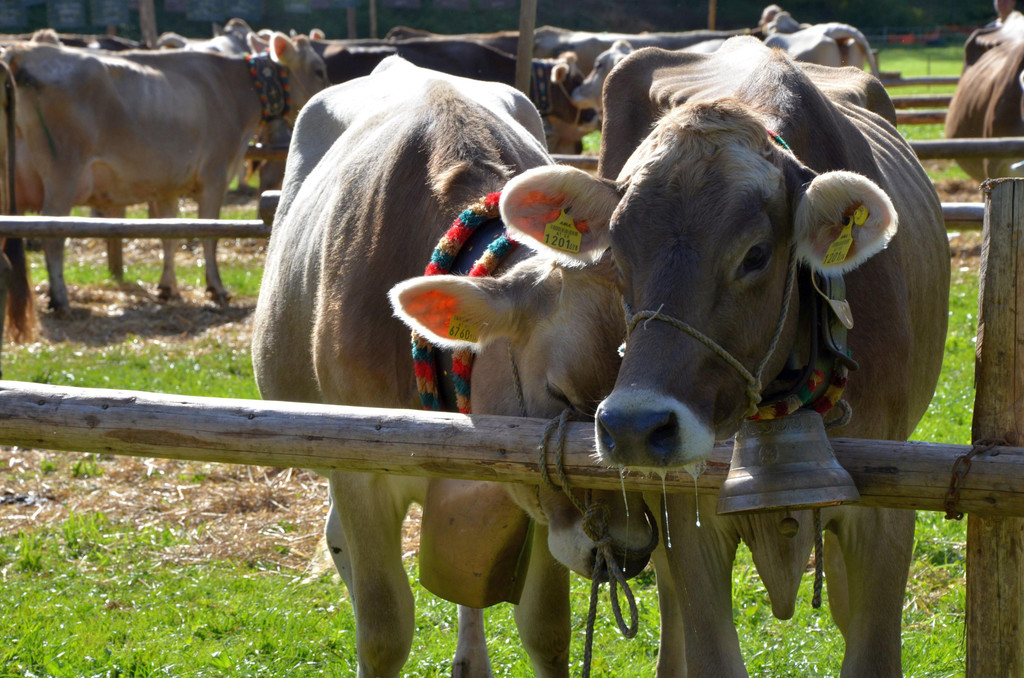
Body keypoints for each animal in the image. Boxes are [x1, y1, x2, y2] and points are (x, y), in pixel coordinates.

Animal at [3, 31, 328, 314]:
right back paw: (60, 298)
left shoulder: (169, 185)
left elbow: (170, 232)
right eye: (319, 70)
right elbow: (209, 234)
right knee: (52, 233)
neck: (233, 89)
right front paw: (216, 287)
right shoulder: (215, 175)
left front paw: (168, 287)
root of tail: (21, 51)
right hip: (63, 171)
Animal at [251, 55, 656, 677]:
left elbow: (546, 628)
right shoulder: (357, 470)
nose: (630, 551)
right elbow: (384, 631)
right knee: (340, 542)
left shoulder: (532, 486)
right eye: (561, 396)